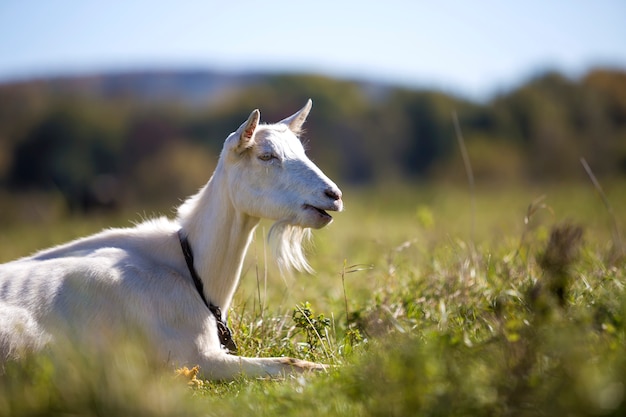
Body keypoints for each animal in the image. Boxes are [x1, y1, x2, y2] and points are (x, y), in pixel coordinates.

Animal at [0, 99, 342, 378]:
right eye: (266, 156)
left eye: (302, 152)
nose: (334, 195)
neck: (191, 268)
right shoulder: (194, 356)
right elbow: (291, 363)